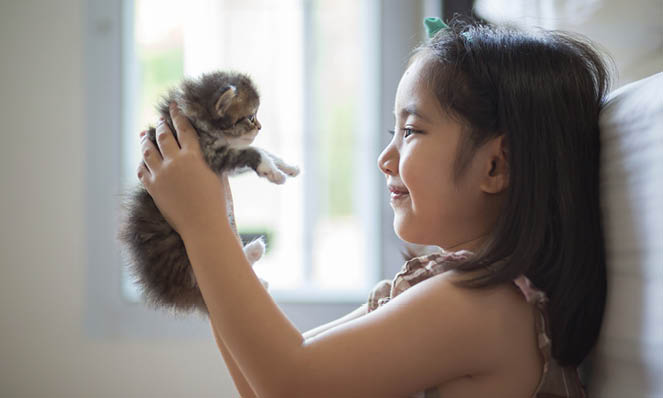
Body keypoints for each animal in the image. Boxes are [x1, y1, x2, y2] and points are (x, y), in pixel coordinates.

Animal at [116, 70, 298, 318]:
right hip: (182, 253)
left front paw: (287, 167)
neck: (196, 117)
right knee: (202, 284)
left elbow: (264, 150)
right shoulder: (213, 155)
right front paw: (273, 172)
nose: (260, 127)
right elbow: (254, 151)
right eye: (251, 116)